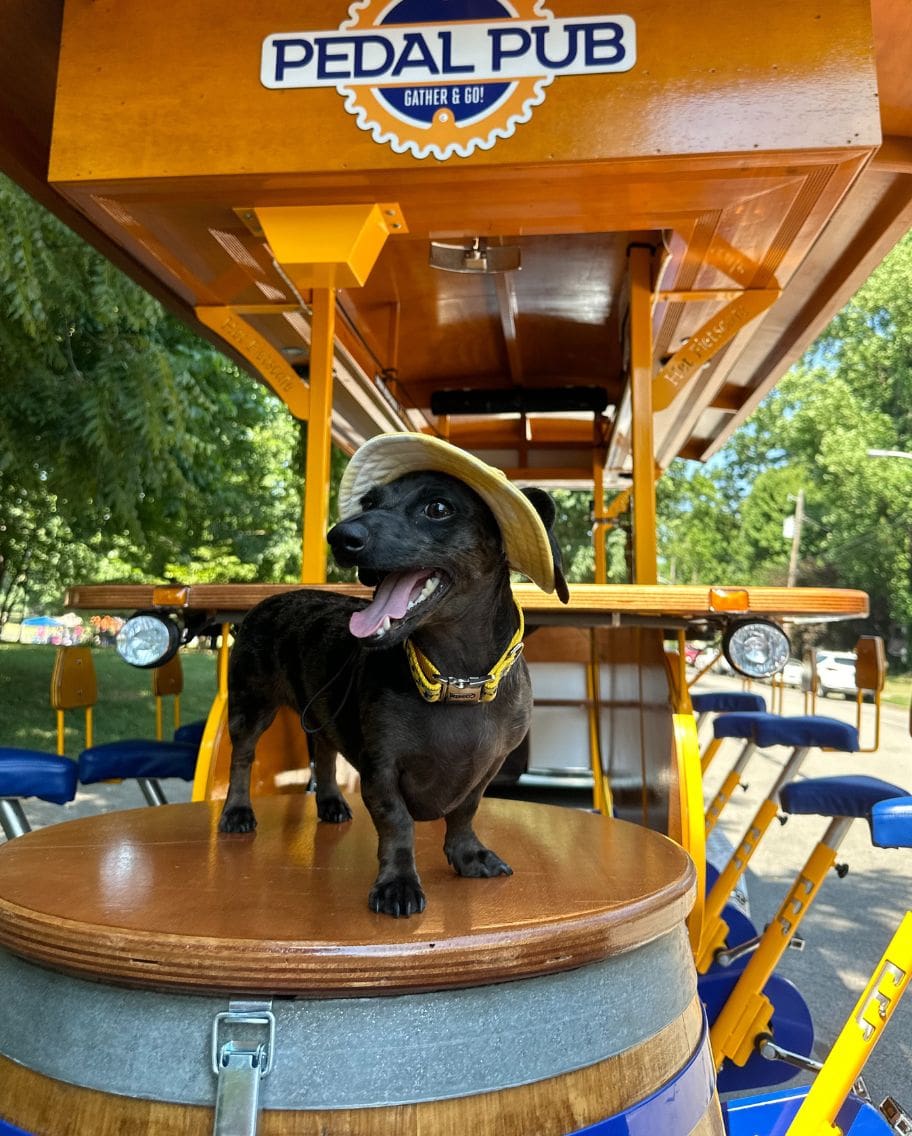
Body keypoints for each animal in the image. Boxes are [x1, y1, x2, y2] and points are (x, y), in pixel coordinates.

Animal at [218, 465, 567, 917]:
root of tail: (269, 599)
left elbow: (465, 811)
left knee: (325, 756)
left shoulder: (488, 767)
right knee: (242, 760)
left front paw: (468, 854)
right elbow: (397, 823)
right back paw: (237, 811)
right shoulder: (381, 768)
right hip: (251, 706)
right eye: (368, 502)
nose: (340, 537)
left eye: (438, 508)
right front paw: (397, 883)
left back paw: (330, 802)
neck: (456, 681)